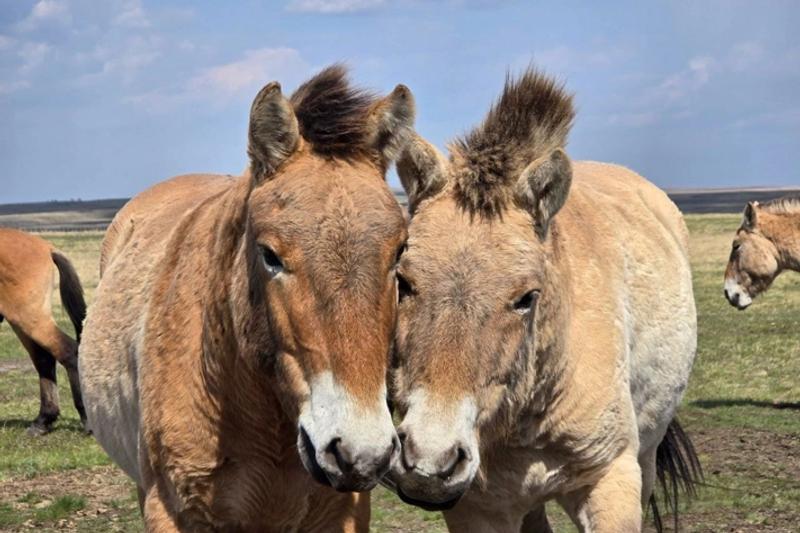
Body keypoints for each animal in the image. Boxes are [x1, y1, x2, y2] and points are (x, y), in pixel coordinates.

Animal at [0, 227, 87, 435]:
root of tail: (47, 248)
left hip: (30, 319)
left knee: (68, 352)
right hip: (24, 322)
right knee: (44, 359)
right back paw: (43, 420)